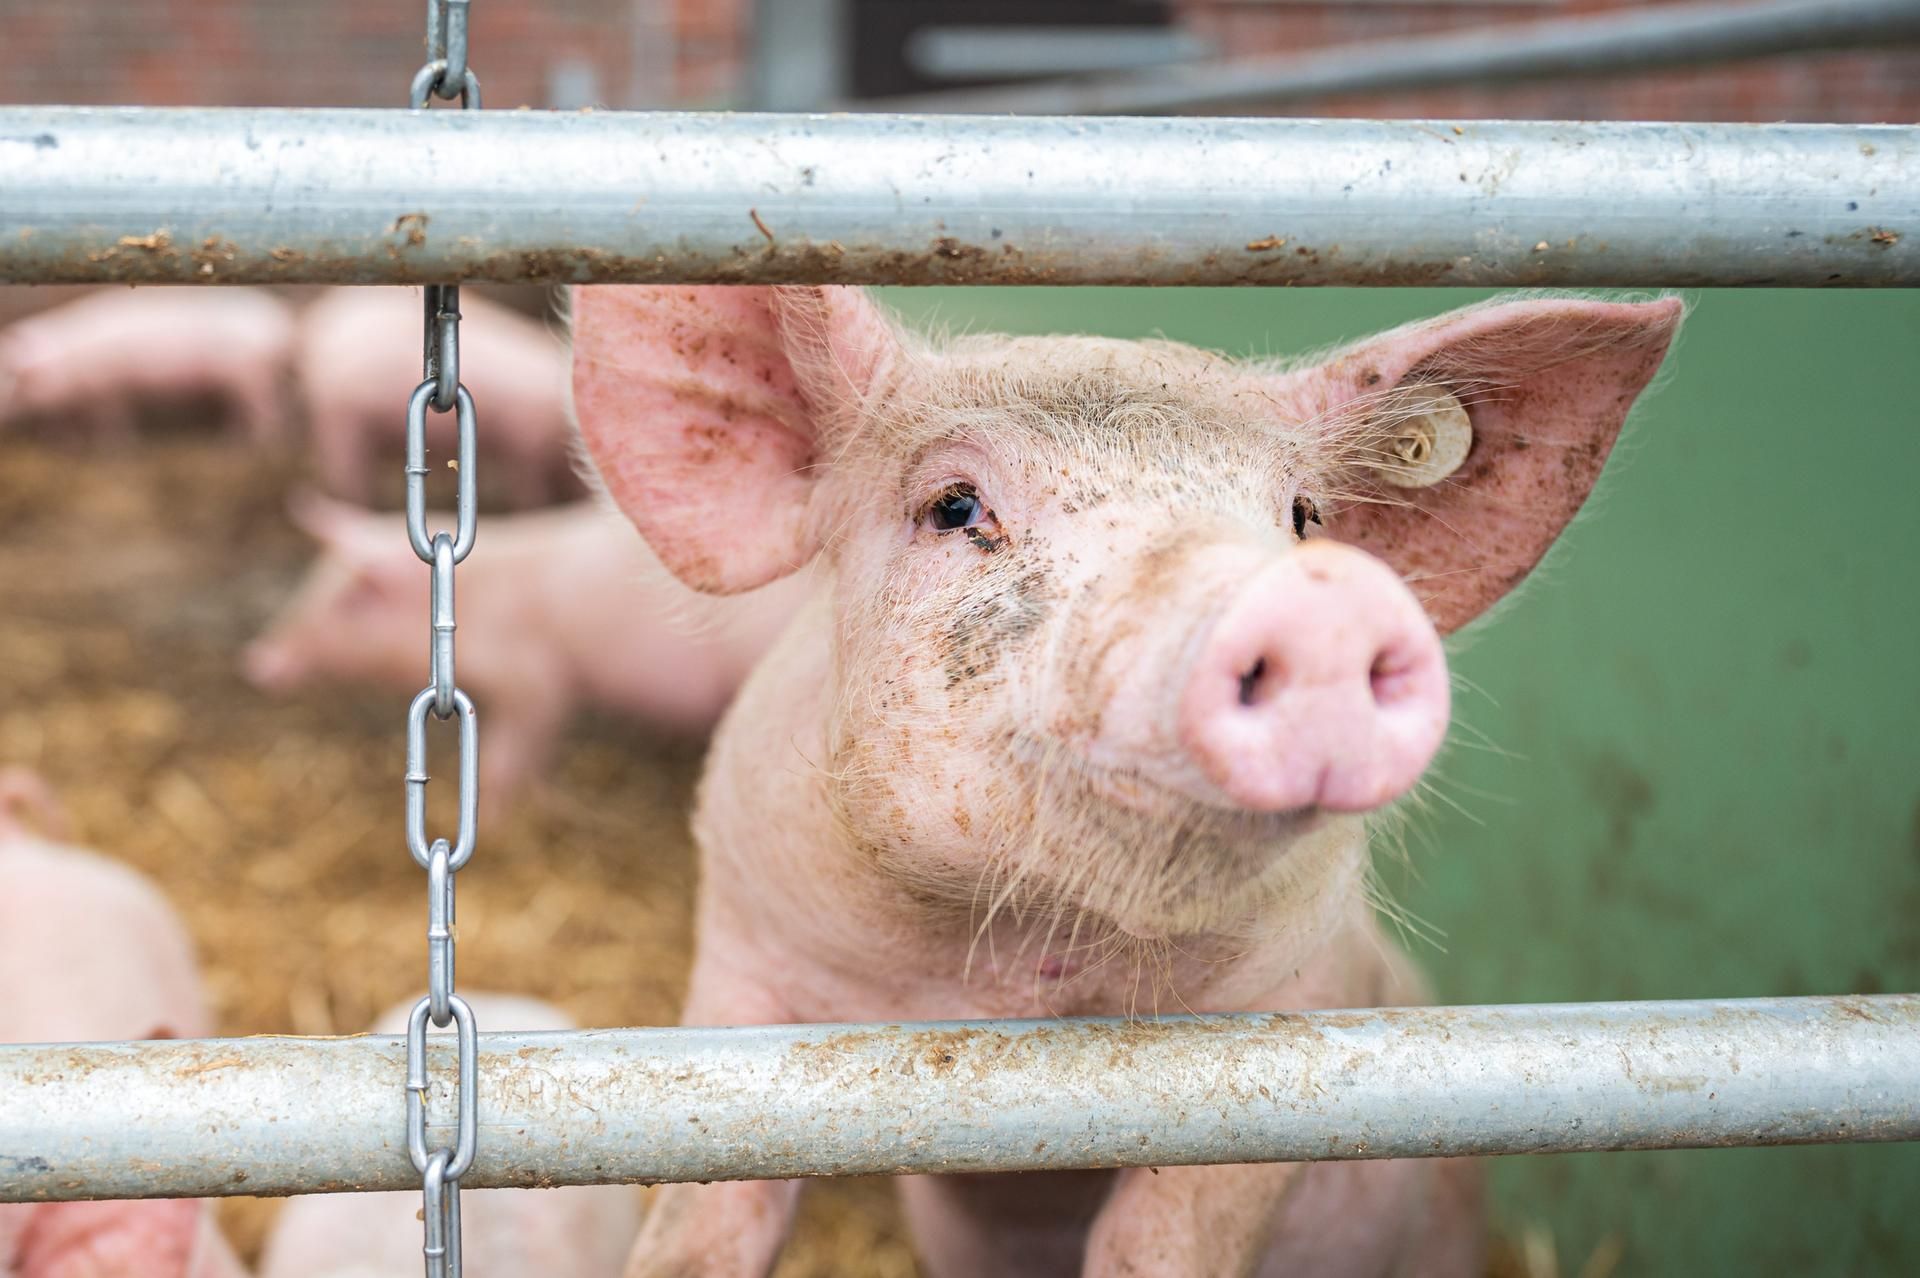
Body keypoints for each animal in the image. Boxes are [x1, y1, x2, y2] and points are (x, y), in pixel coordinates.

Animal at [0, 289, 294, 444]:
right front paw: (61, 440)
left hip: (249, 373)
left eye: (14, 383)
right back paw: (231, 436)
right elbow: (64, 422)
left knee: (266, 410)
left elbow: (111, 418)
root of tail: (278, 323)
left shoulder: (108, 388)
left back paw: (256, 443)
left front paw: (114, 444)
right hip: (244, 378)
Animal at [242, 495, 805, 815]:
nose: (259, 662)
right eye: (311, 582)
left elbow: (509, 755)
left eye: (348, 601)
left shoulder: (539, 681)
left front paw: (497, 817)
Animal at [568, 285, 1683, 1277]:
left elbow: (1159, 1246)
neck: (1000, 975)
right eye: (955, 506)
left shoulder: (1290, 1018)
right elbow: (701, 1233)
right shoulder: (740, 961)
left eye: (1303, 517)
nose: (1317, 601)